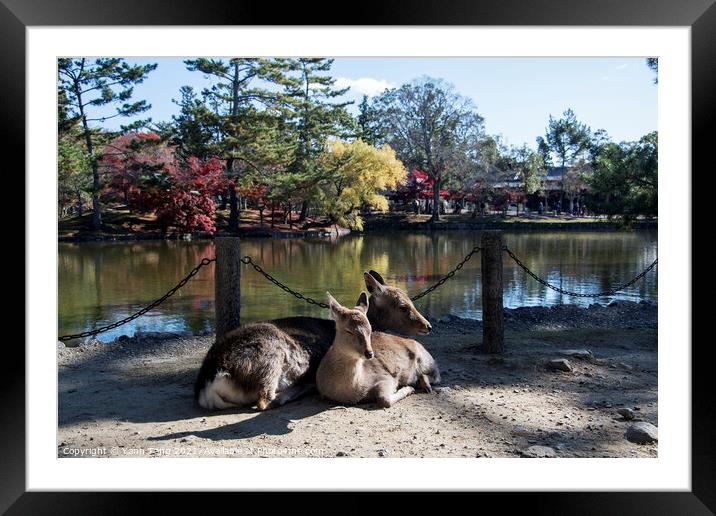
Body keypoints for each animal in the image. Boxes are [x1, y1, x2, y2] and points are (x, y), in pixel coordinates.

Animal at [196, 270, 440, 412]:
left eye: (411, 299)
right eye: (402, 306)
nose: (428, 326)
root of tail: (209, 383)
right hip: (270, 357)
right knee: (265, 400)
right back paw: (300, 389)